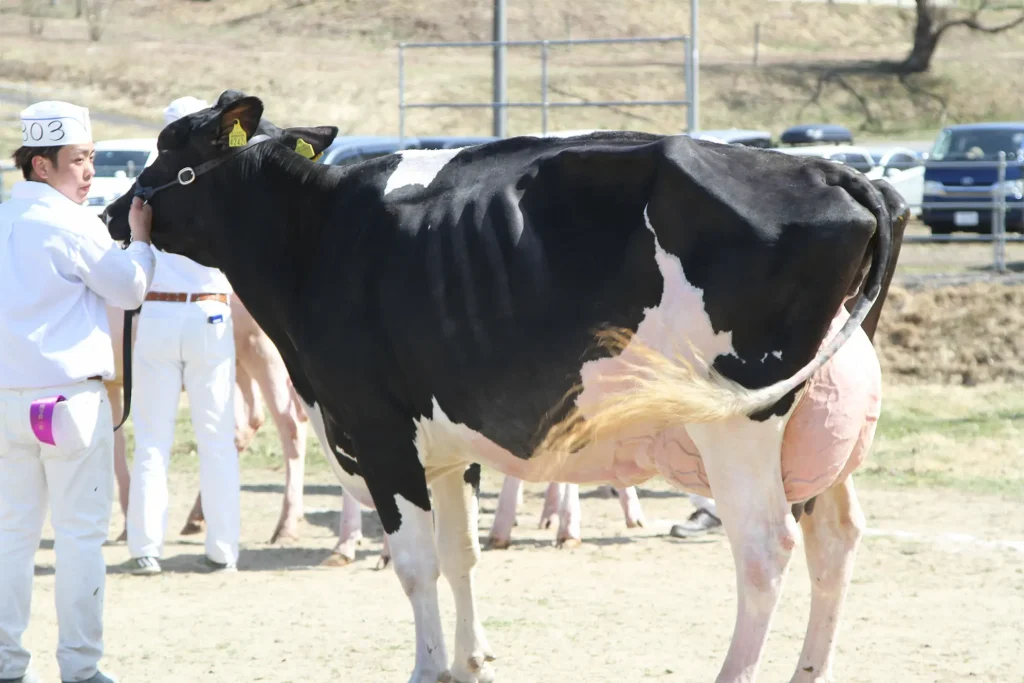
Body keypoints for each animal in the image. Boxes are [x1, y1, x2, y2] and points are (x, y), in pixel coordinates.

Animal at [108, 92, 909, 683]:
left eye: (171, 145)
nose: (115, 213)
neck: (316, 234)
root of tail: (836, 173)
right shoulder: (445, 441)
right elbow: (461, 554)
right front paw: (471, 660)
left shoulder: (378, 431)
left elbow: (417, 564)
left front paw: (429, 666)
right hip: (814, 427)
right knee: (836, 537)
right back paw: (809, 670)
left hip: (739, 422)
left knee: (765, 549)